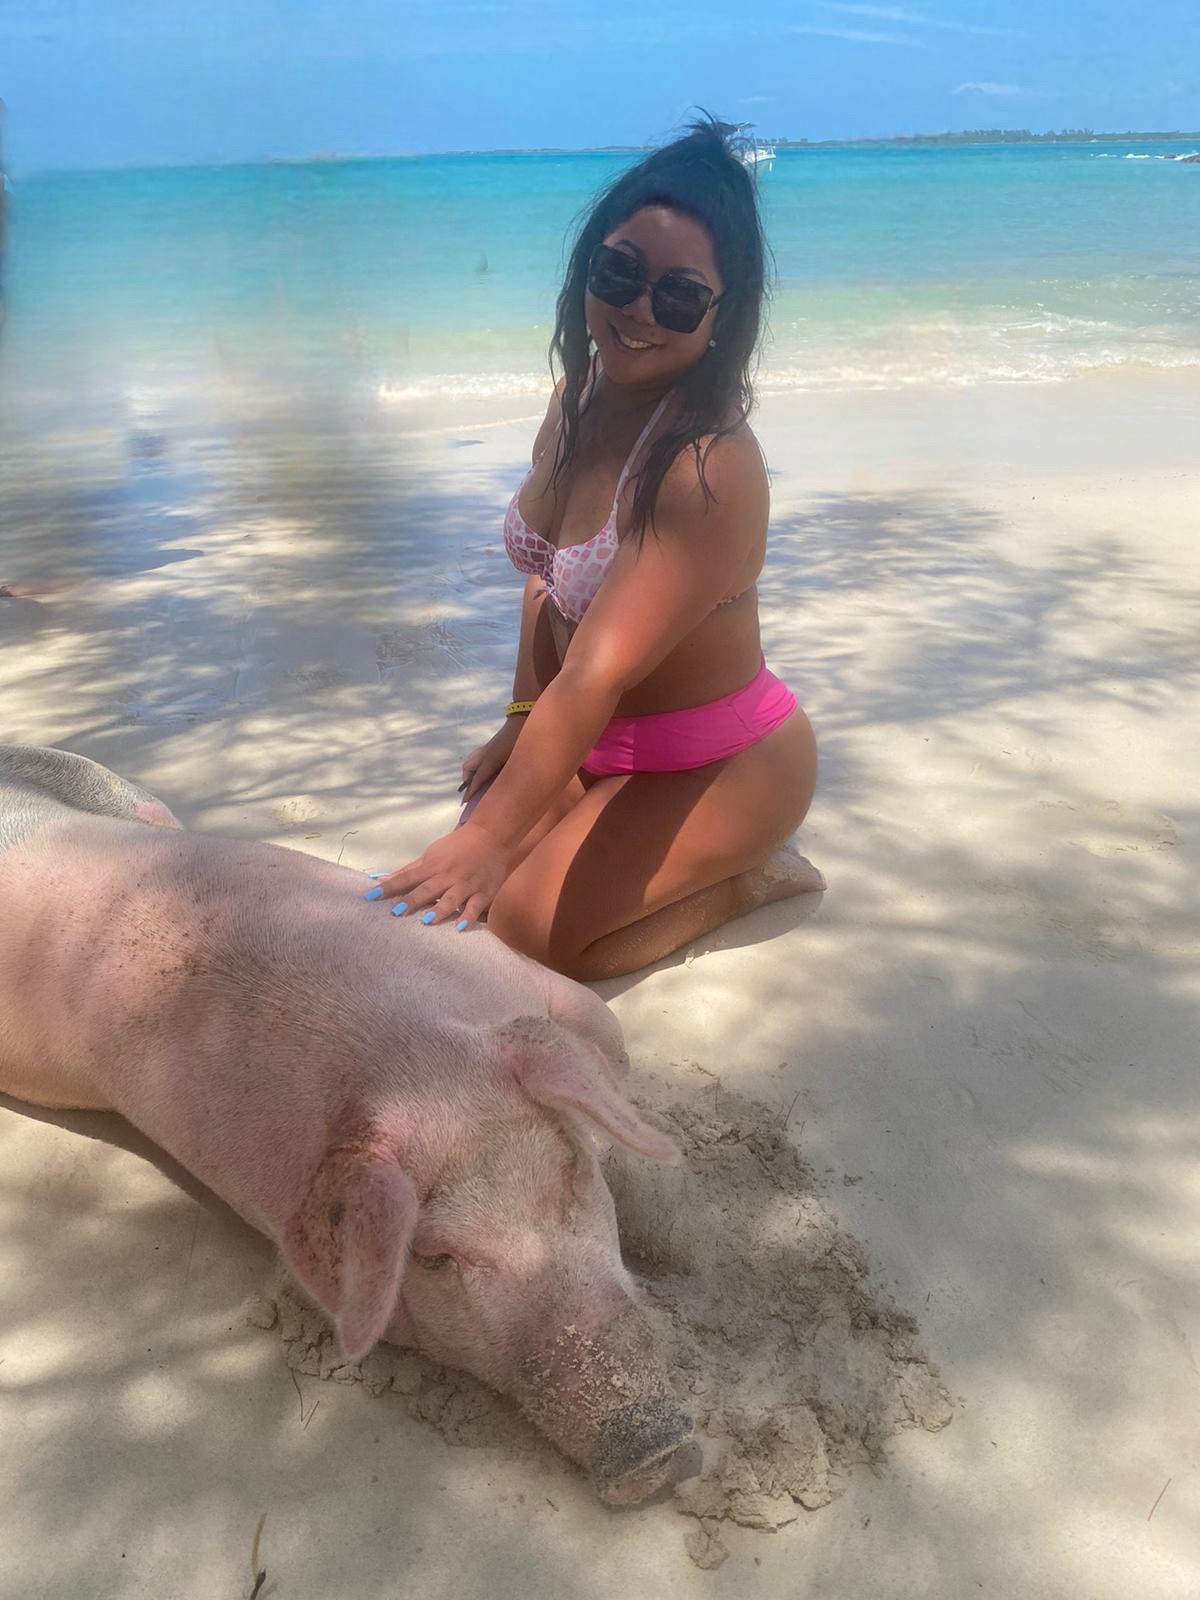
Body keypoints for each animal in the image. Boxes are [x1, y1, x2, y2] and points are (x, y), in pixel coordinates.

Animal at [0, 744, 692, 1504]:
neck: (403, 1061)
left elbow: (622, 1088)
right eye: (436, 1256)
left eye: (572, 1172)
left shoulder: (534, 986)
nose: (651, 1447)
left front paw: (683, 1246)